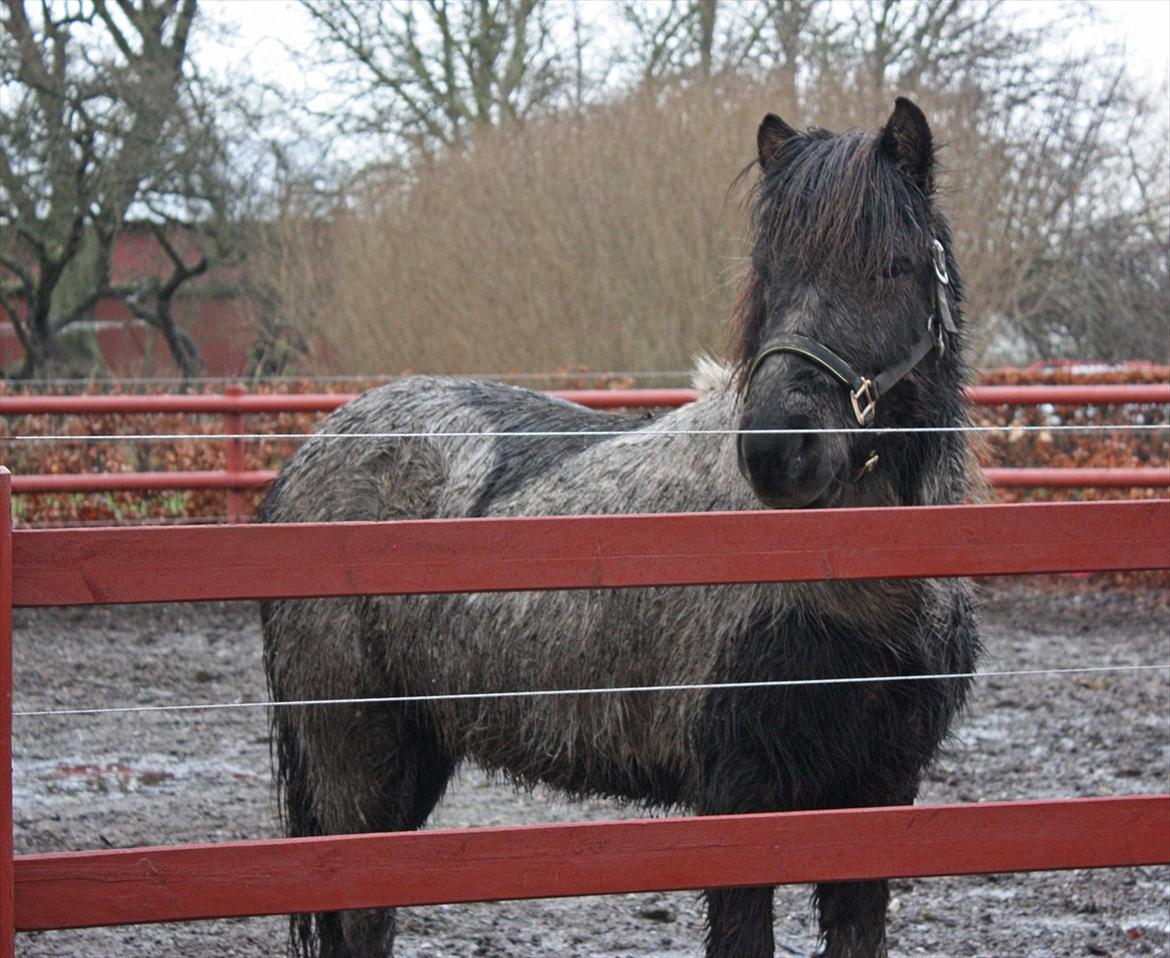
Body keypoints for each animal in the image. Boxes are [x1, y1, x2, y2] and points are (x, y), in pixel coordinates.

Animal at [260, 99, 982, 958]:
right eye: (767, 271)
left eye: (894, 267)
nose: (778, 450)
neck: (856, 577)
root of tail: (305, 458)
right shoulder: (741, 799)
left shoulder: (877, 794)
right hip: (355, 765)